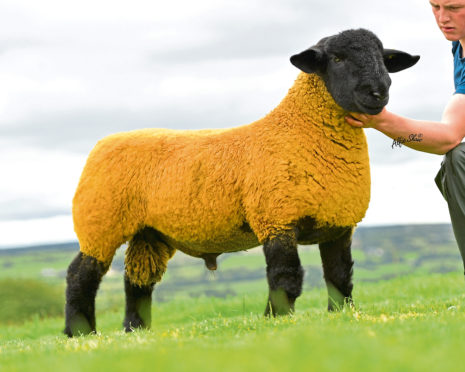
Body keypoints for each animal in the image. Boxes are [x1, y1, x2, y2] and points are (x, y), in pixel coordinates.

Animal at [64, 28, 416, 338]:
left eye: (383, 59)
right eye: (338, 58)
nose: (378, 92)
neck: (299, 130)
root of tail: (103, 143)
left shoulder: (338, 223)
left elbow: (340, 275)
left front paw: (340, 315)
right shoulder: (276, 218)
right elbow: (286, 277)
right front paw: (277, 319)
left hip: (149, 233)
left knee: (137, 280)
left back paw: (135, 330)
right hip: (100, 222)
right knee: (80, 275)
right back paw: (79, 333)